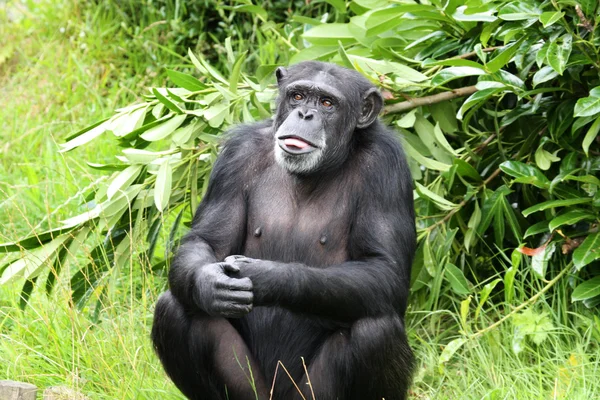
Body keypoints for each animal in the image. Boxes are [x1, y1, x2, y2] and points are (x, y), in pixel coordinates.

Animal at [152, 60, 414, 400]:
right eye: (298, 96)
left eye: (327, 103)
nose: (304, 114)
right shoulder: (235, 156)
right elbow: (207, 240)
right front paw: (209, 282)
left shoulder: (387, 167)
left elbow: (384, 268)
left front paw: (266, 276)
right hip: (251, 390)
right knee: (174, 307)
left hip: (310, 392)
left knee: (376, 331)